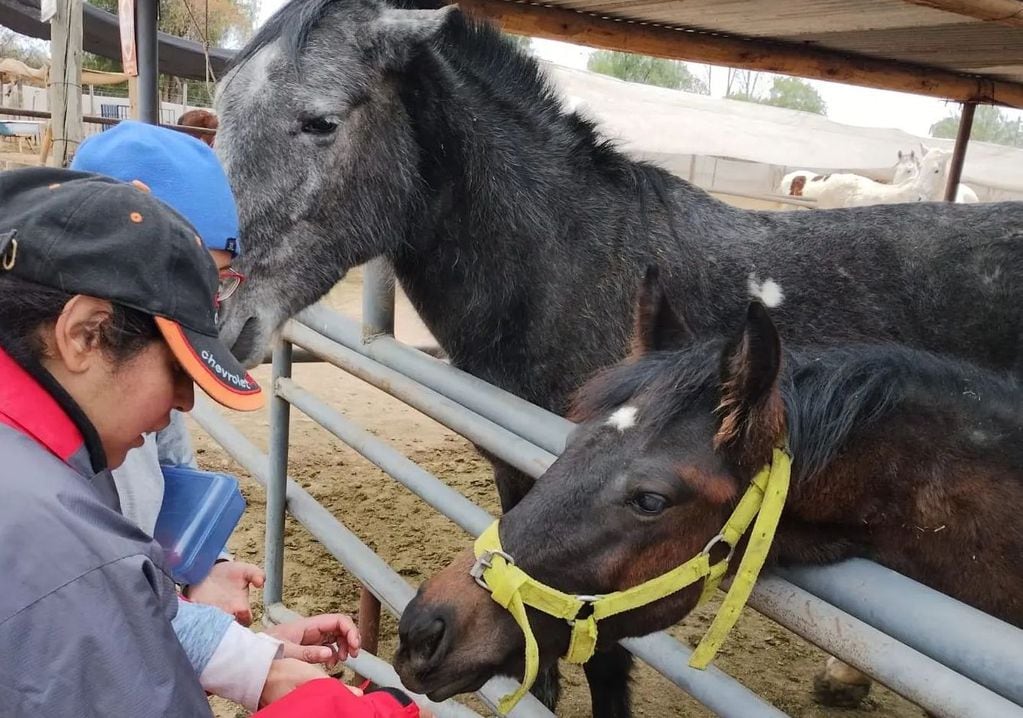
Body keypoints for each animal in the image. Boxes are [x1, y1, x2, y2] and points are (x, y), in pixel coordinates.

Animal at [215, 0, 1023, 715]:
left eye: (320, 121)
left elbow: (601, 658)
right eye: (220, 111)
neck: (578, 264)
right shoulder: (529, 478)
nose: (213, 315)